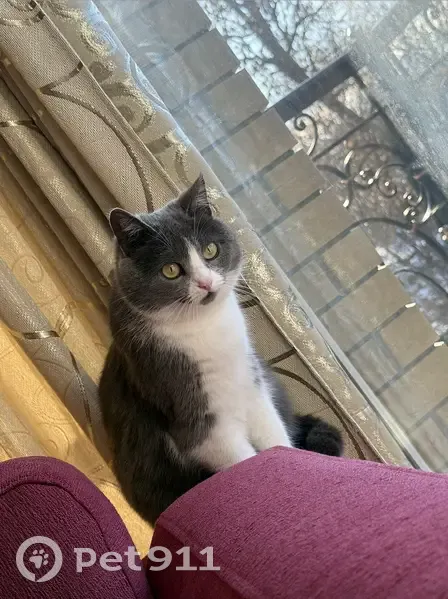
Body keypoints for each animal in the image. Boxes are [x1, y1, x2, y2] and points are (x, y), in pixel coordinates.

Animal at [99, 174, 343, 525]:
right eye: (171, 270)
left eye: (210, 250)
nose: (206, 283)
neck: (206, 330)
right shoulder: (196, 417)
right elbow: (241, 460)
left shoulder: (253, 386)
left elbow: (275, 439)